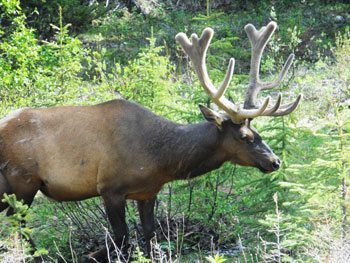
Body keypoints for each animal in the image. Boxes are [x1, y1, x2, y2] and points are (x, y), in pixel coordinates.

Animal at [0, 21, 300, 262]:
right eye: (245, 136)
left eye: (258, 132)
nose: (275, 161)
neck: (161, 160)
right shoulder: (109, 187)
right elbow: (122, 239)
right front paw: (93, 254)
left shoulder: (148, 191)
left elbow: (150, 235)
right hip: (23, 181)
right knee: (19, 223)